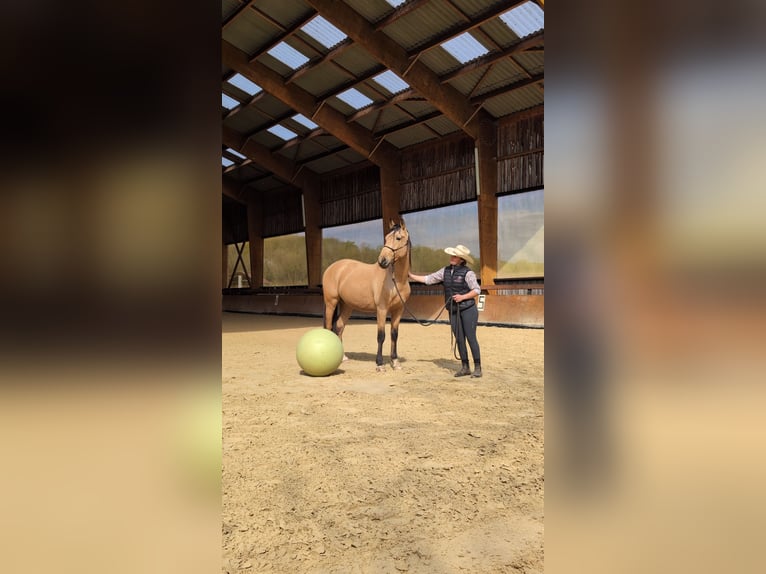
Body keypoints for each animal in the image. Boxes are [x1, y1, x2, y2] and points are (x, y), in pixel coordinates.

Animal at [322, 219, 412, 372]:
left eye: (398, 238)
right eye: (386, 238)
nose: (382, 261)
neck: (396, 281)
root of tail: (333, 267)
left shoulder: (398, 310)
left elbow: (394, 334)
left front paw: (395, 362)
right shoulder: (381, 309)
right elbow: (381, 336)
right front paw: (380, 364)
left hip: (347, 306)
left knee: (339, 326)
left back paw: (343, 357)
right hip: (331, 303)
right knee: (329, 327)